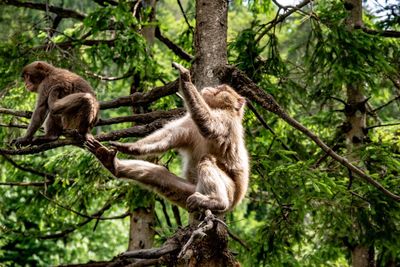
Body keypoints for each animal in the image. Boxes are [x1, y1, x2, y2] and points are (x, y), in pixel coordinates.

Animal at [86, 63, 248, 214]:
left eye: (223, 89)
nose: (214, 88)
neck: (217, 107)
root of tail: (235, 202)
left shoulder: (226, 120)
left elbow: (208, 124)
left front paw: (185, 78)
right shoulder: (189, 122)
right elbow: (169, 136)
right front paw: (132, 147)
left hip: (230, 190)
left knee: (207, 159)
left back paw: (217, 202)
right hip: (189, 191)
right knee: (158, 174)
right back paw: (113, 164)